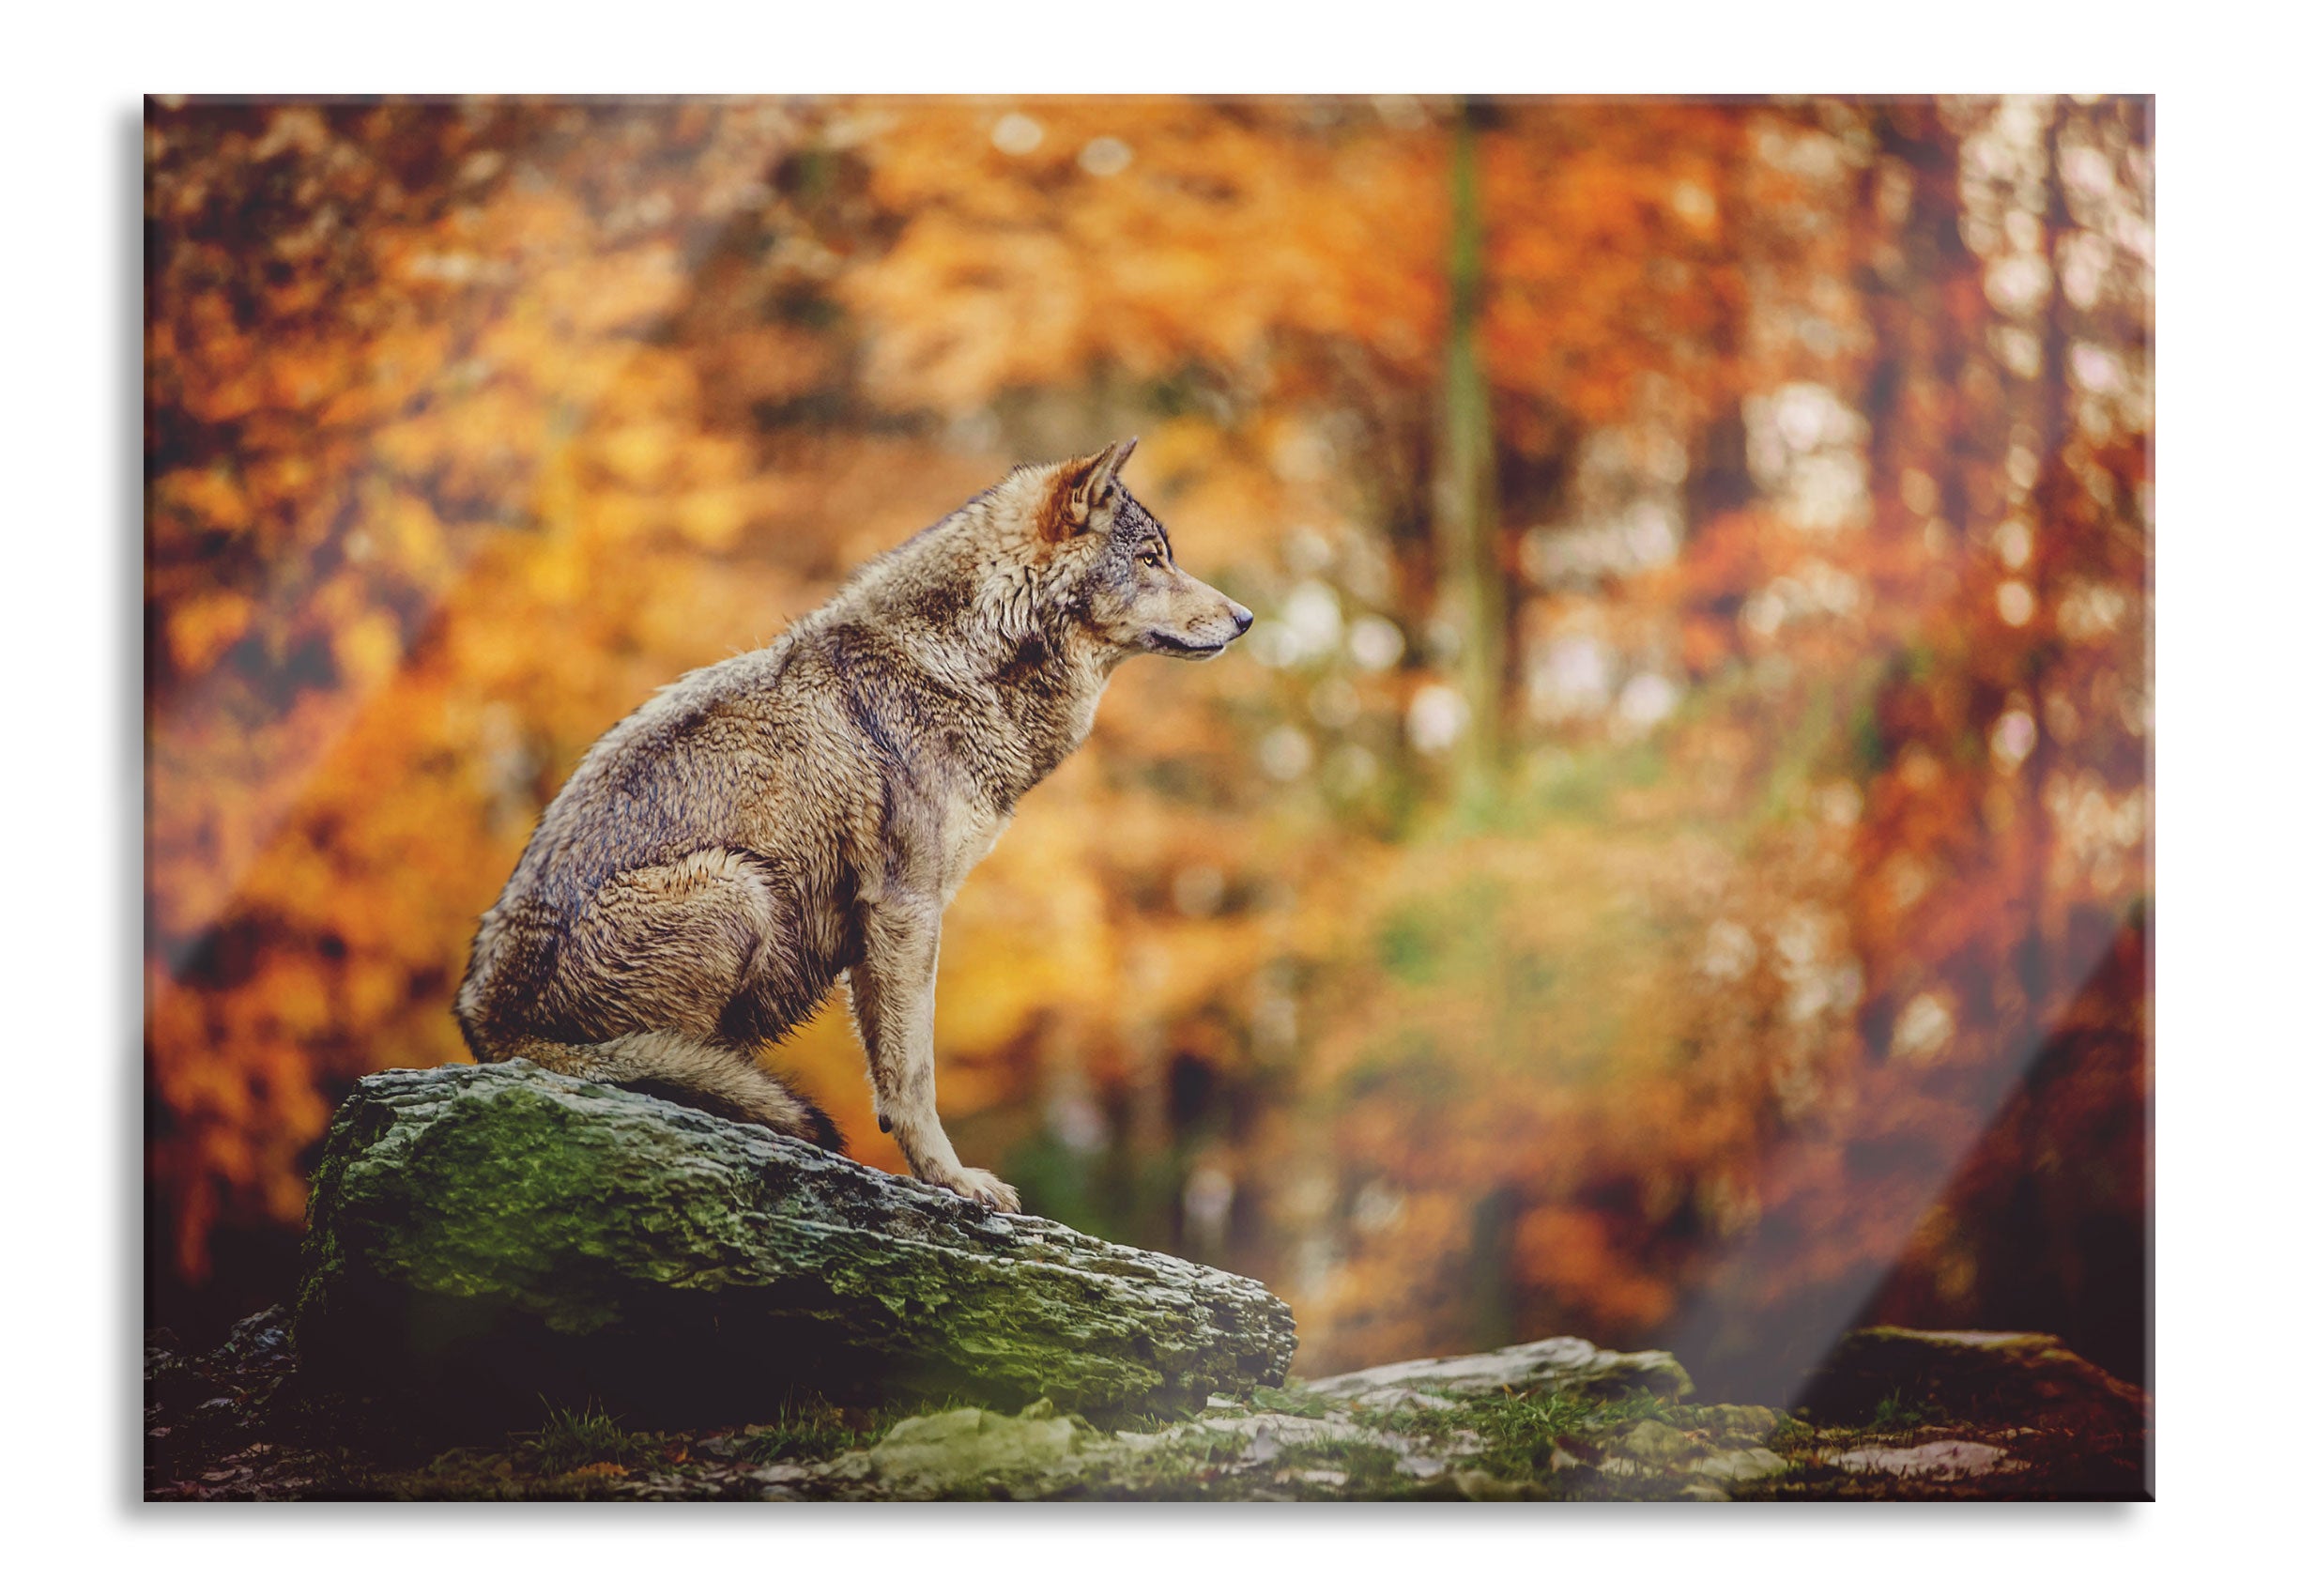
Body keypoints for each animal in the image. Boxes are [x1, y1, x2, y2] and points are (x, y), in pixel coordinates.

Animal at [455, 437, 1250, 1214]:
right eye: (1151, 558)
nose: (1245, 619)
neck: (960, 665)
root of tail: (488, 1025)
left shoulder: (884, 927)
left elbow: (893, 1073)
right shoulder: (906, 908)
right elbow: (914, 1073)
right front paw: (954, 1182)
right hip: (736, 886)